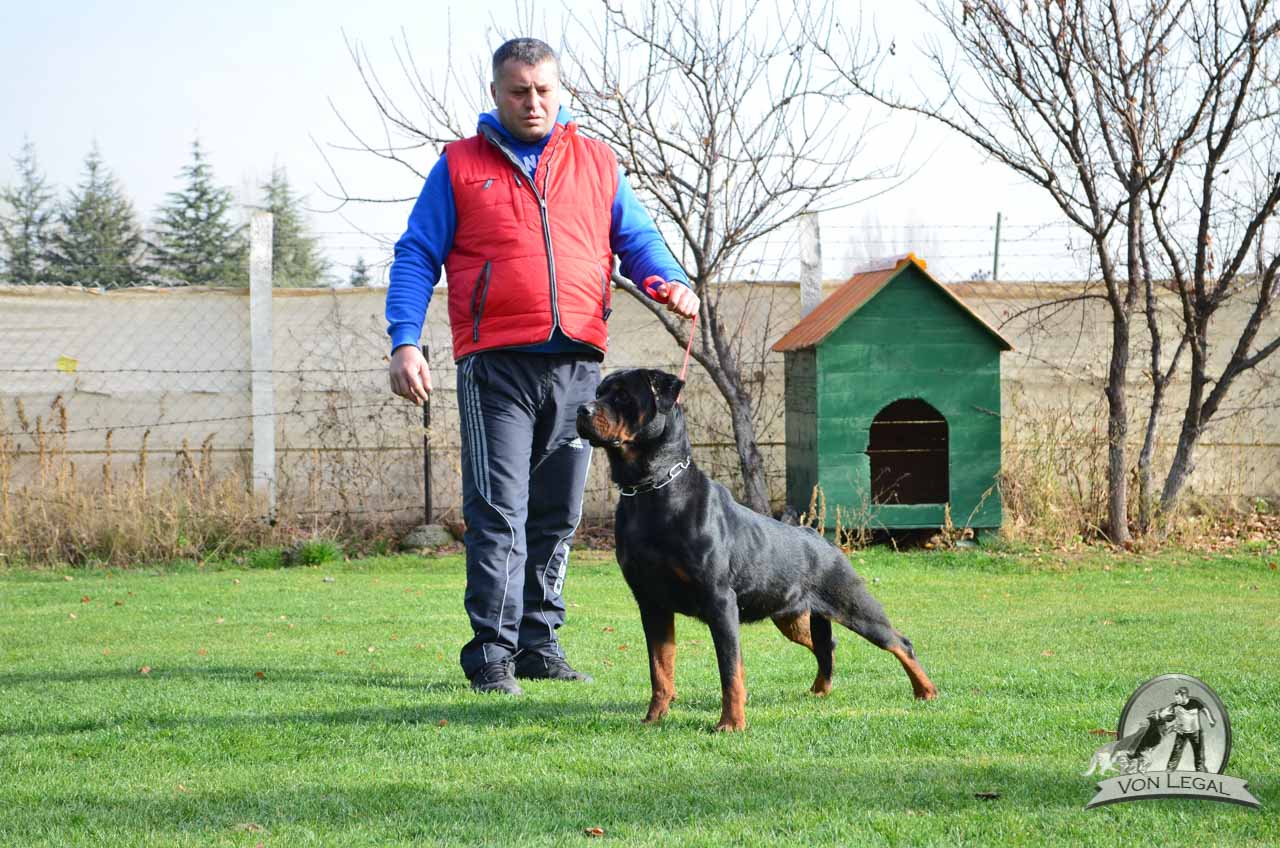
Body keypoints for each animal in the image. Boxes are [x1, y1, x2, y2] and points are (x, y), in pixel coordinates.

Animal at [576, 368, 938, 731]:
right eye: (599, 392)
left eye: (623, 395)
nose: (582, 409)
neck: (650, 491)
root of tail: (821, 539)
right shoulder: (651, 602)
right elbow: (660, 668)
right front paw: (654, 718)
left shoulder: (720, 601)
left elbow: (730, 671)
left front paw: (731, 723)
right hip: (790, 616)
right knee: (826, 644)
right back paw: (820, 690)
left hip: (852, 604)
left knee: (899, 642)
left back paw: (926, 691)